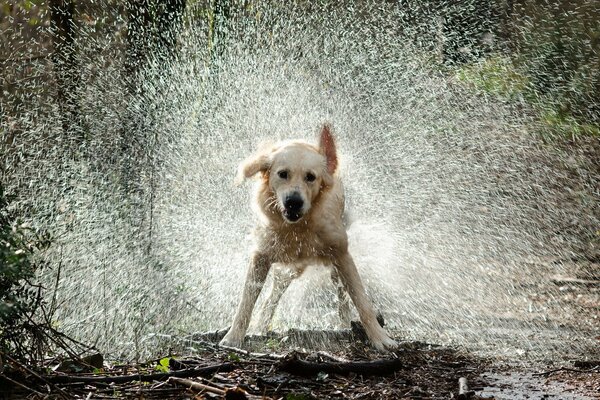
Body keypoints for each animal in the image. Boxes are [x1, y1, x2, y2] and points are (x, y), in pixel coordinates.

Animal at [220, 122, 398, 350]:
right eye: (282, 174)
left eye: (311, 177)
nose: (293, 202)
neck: (298, 227)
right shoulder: (261, 256)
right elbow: (246, 302)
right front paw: (233, 337)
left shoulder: (342, 256)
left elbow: (361, 301)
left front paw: (380, 338)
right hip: (289, 269)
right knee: (272, 296)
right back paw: (261, 326)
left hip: (331, 266)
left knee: (341, 295)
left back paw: (344, 324)